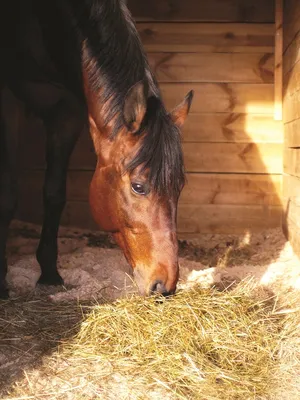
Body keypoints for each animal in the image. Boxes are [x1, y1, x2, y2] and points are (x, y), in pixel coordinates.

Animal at [0, 0, 193, 300]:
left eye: (180, 185)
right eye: (138, 186)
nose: (165, 285)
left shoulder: (69, 110)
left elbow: (54, 194)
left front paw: (49, 273)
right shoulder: (8, 100)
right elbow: (8, 197)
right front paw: (1, 281)